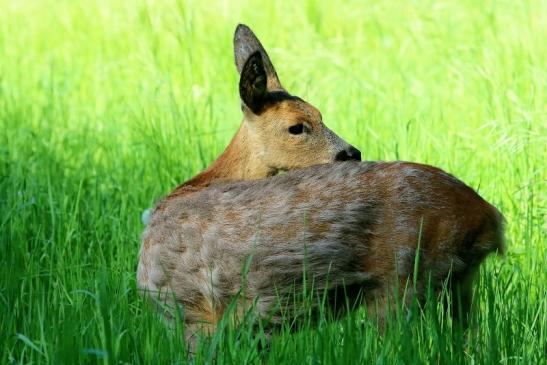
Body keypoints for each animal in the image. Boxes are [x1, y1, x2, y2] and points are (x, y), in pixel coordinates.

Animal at [137, 24, 506, 348]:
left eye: (320, 114)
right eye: (297, 126)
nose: (352, 153)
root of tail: (489, 217)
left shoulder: (191, 313)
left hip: (402, 280)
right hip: (459, 285)